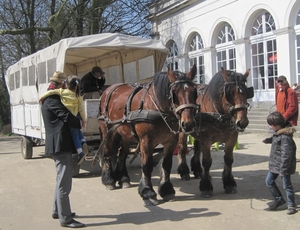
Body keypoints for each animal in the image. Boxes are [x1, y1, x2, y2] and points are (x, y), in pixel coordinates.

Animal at [97, 65, 198, 206]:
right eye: (174, 93)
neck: (157, 107)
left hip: (124, 134)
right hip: (107, 130)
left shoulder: (171, 141)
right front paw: (148, 192)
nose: (188, 124)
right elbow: (146, 165)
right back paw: (109, 180)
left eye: (194, 91)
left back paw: (124, 179)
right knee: (107, 152)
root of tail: (107, 90)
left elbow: (166, 164)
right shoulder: (146, 141)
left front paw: (166, 190)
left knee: (122, 155)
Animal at [177, 68, 254, 198]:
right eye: (230, 93)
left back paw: (197, 170)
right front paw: (206, 186)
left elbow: (228, 160)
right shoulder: (206, 140)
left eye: (245, 92)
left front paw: (229, 183)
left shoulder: (231, 139)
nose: (242, 122)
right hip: (184, 129)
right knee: (182, 149)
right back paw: (184, 172)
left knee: (197, 149)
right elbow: (207, 162)